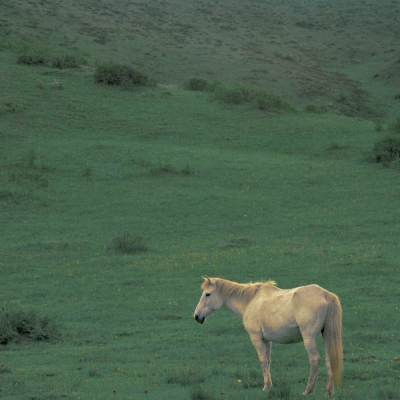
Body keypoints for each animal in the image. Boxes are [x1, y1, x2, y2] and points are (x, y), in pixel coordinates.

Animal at [194, 276, 344, 396]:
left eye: (207, 294)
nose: (196, 316)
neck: (251, 301)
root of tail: (325, 294)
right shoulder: (267, 341)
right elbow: (268, 361)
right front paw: (270, 385)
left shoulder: (256, 338)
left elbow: (263, 361)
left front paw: (266, 386)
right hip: (326, 337)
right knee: (329, 360)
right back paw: (328, 391)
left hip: (309, 339)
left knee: (315, 359)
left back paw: (308, 390)